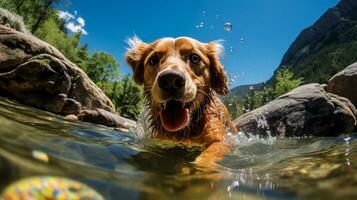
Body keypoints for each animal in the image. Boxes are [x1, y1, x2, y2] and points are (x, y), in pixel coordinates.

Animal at [125, 36, 236, 166]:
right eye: (153, 59)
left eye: (195, 58)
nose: (170, 80)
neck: (181, 132)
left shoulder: (221, 141)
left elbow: (206, 159)